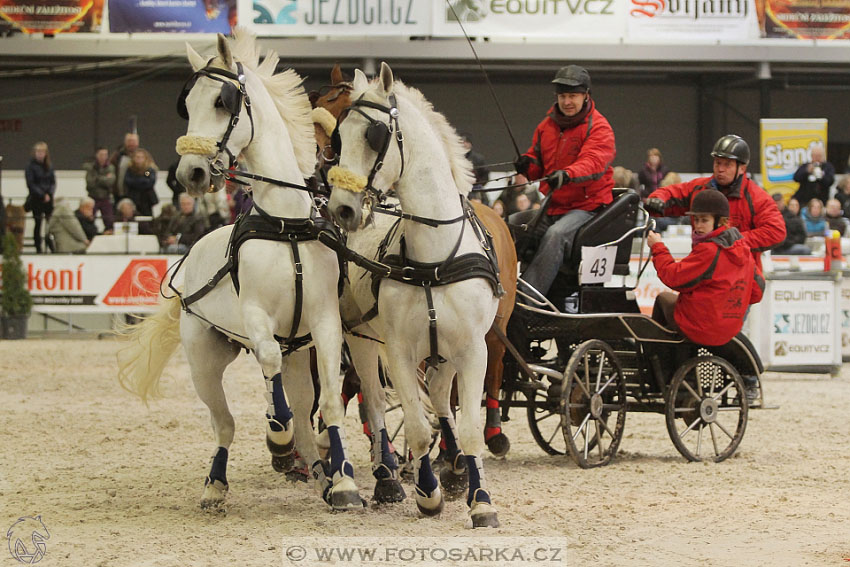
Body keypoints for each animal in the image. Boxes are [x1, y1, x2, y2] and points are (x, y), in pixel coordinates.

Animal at [115, 28, 362, 512]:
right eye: (188, 104)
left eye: (221, 101)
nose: (189, 173)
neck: (286, 224)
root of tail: (190, 254)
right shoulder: (256, 316)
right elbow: (268, 363)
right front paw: (277, 435)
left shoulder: (324, 323)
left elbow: (329, 401)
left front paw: (342, 482)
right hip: (203, 359)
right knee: (224, 422)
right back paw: (218, 482)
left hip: (294, 352)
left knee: (300, 405)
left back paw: (316, 469)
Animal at [322, 63, 496, 528]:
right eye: (339, 139)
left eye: (375, 134)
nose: (342, 208)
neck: (434, 257)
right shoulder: (398, 349)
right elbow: (415, 428)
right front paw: (427, 494)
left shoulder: (473, 349)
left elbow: (468, 427)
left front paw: (481, 501)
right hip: (363, 340)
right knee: (374, 401)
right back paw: (389, 478)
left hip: (445, 353)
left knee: (437, 395)